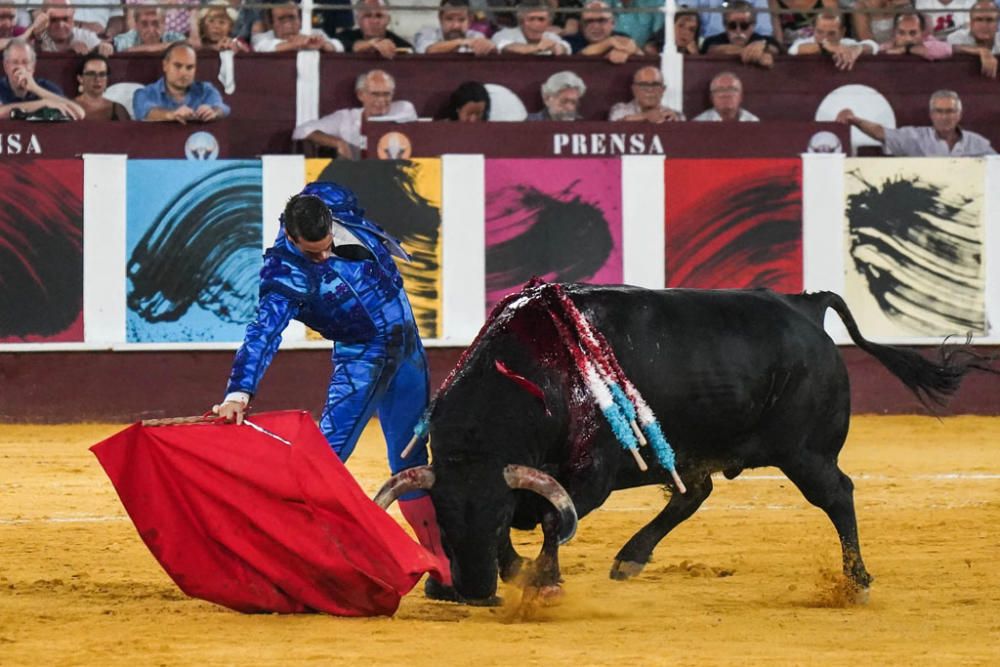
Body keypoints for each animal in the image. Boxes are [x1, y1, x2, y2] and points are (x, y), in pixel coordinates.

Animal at [376, 284, 992, 608]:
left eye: (498, 510)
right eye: (439, 517)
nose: (471, 590)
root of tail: (803, 306)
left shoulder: (592, 475)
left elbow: (554, 520)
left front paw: (542, 579)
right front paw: (515, 569)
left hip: (806, 453)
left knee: (838, 494)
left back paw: (856, 581)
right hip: (705, 448)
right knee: (694, 493)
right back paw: (630, 557)